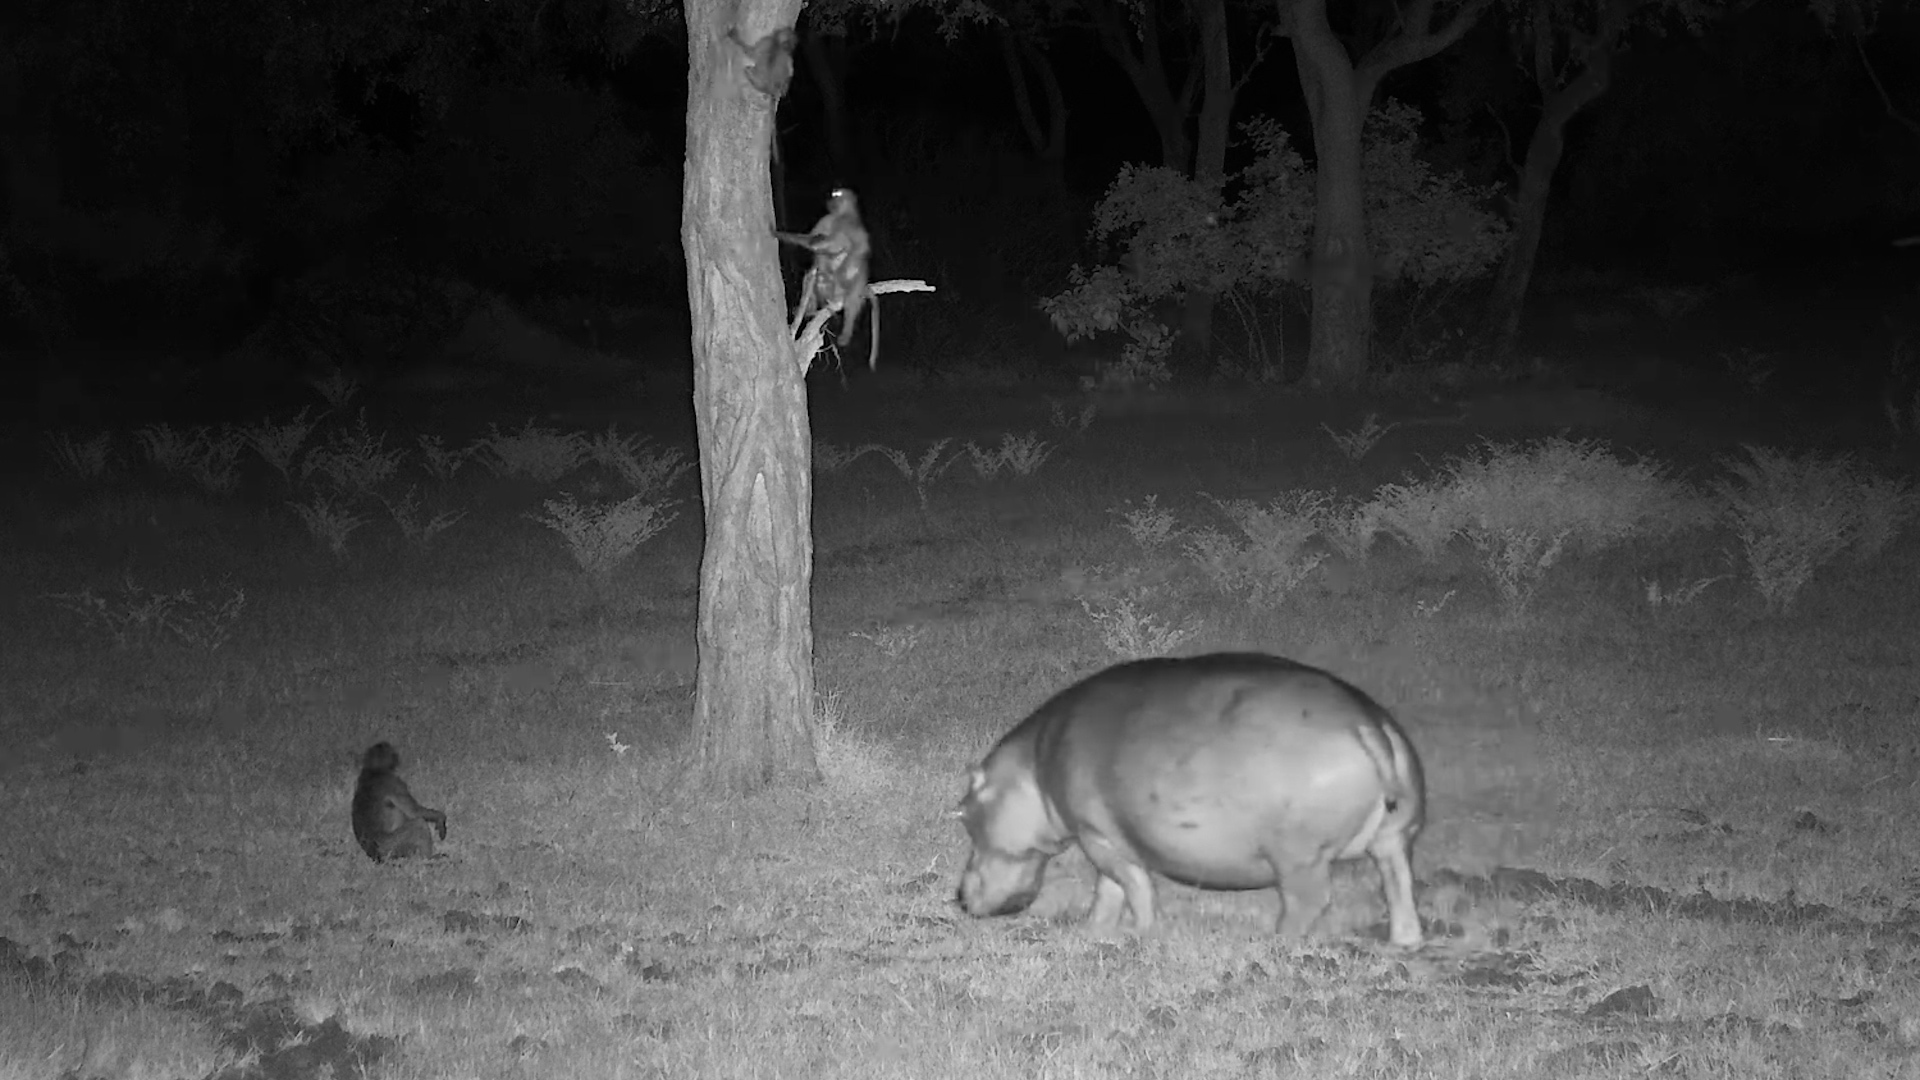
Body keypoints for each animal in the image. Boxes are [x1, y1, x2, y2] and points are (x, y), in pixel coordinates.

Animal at [956, 653, 1424, 946]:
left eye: (965, 816)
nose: (958, 897)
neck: (1032, 768)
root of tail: (1369, 724)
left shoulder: (1096, 836)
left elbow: (1133, 886)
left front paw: (1142, 934)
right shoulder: (1105, 837)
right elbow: (1109, 892)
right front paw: (1092, 933)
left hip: (1298, 857)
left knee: (1307, 902)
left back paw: (1273, 943)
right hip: (1396, 837)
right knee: (1399, 885)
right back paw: (1403, 944)